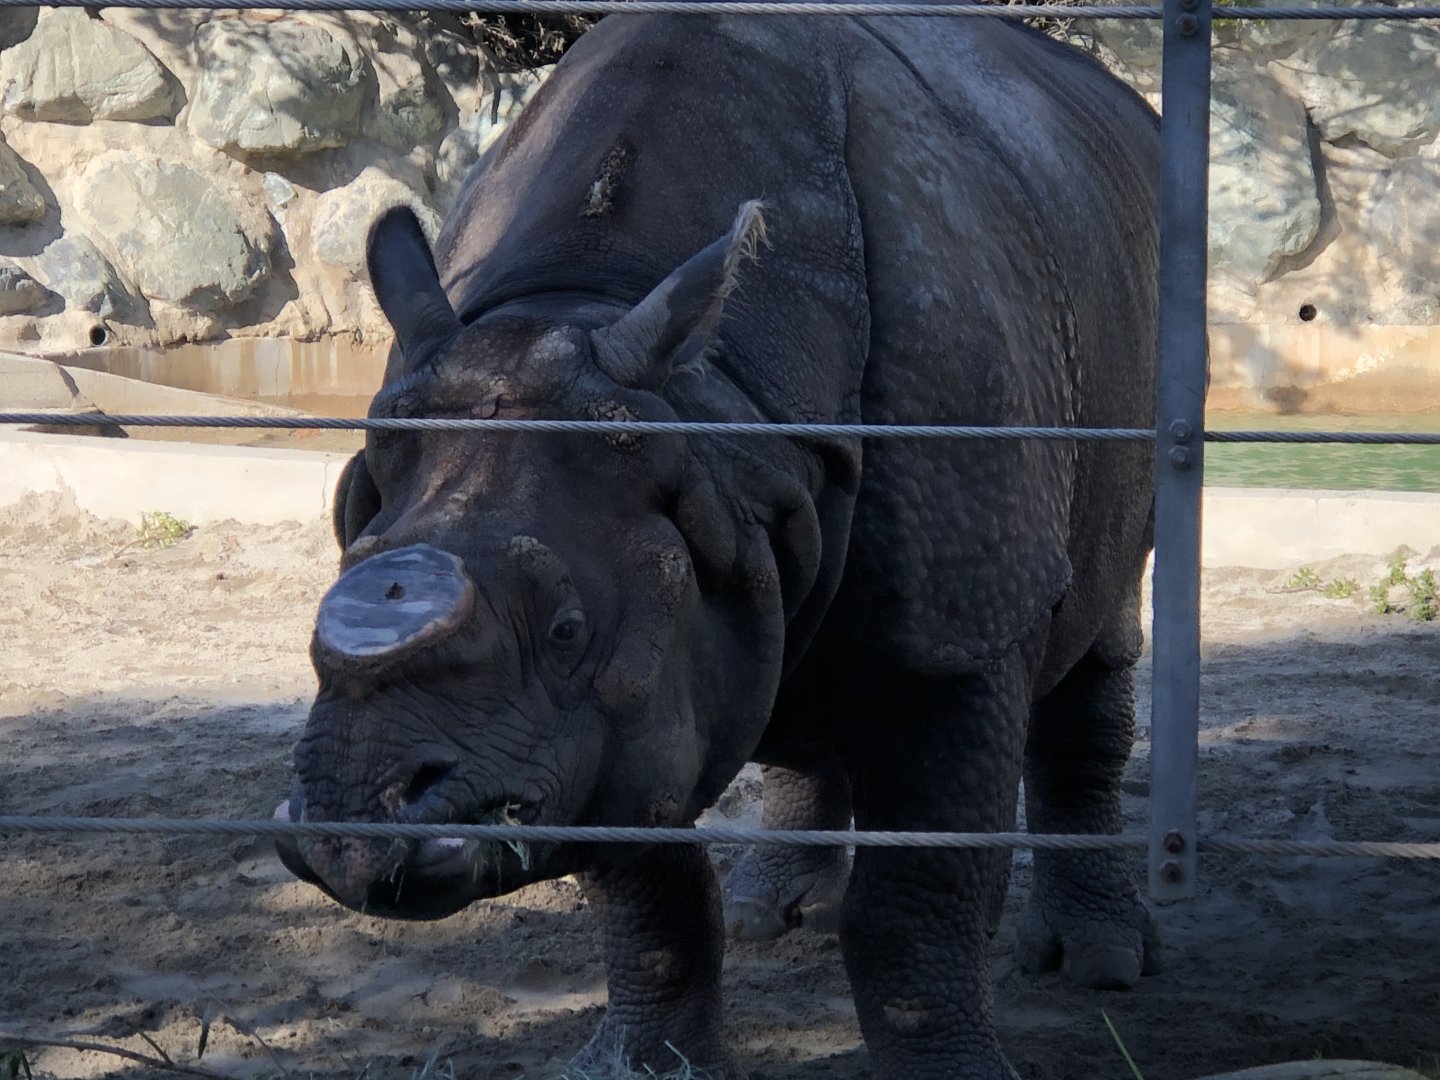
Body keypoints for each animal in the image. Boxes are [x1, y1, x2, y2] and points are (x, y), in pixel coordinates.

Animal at [276, 11, 1161, 1078]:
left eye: (567, 631)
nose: (351, 839)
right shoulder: (620, 695)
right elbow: (650, 891)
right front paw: (643, 1063)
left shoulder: (964, 627)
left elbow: (915, 904)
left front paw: (955, 1069)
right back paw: (770, 917)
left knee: (1104, 616)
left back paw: (1100, 967)